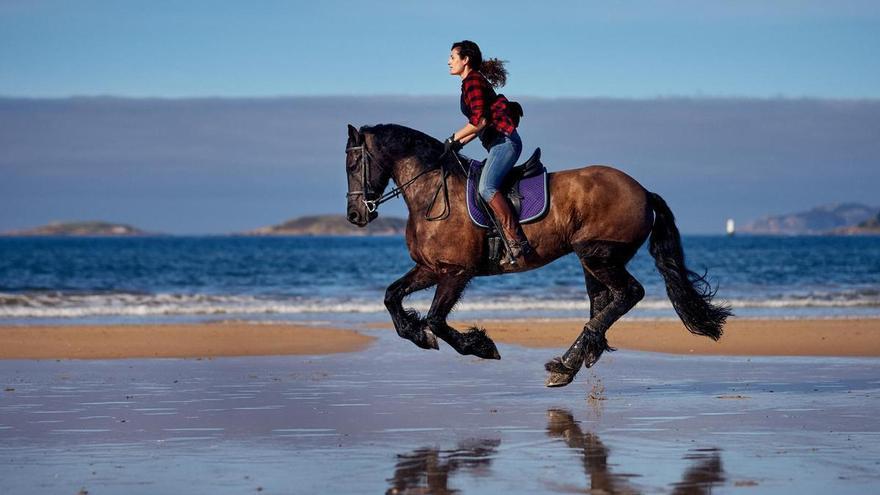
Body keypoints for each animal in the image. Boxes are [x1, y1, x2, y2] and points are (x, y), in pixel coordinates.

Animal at [345, 123, 731, 387]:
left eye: (352, 164)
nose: (355, 216)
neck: (434, 194)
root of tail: (643, 191)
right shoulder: (429, 268)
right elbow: (391, 296)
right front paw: (416, 333)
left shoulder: (455, 272)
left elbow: (437, 320)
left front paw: (480, 345)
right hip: (592, 259)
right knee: (604, 301)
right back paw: (578, 358)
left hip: (598, 254)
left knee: (627, 294)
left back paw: (568, 363)